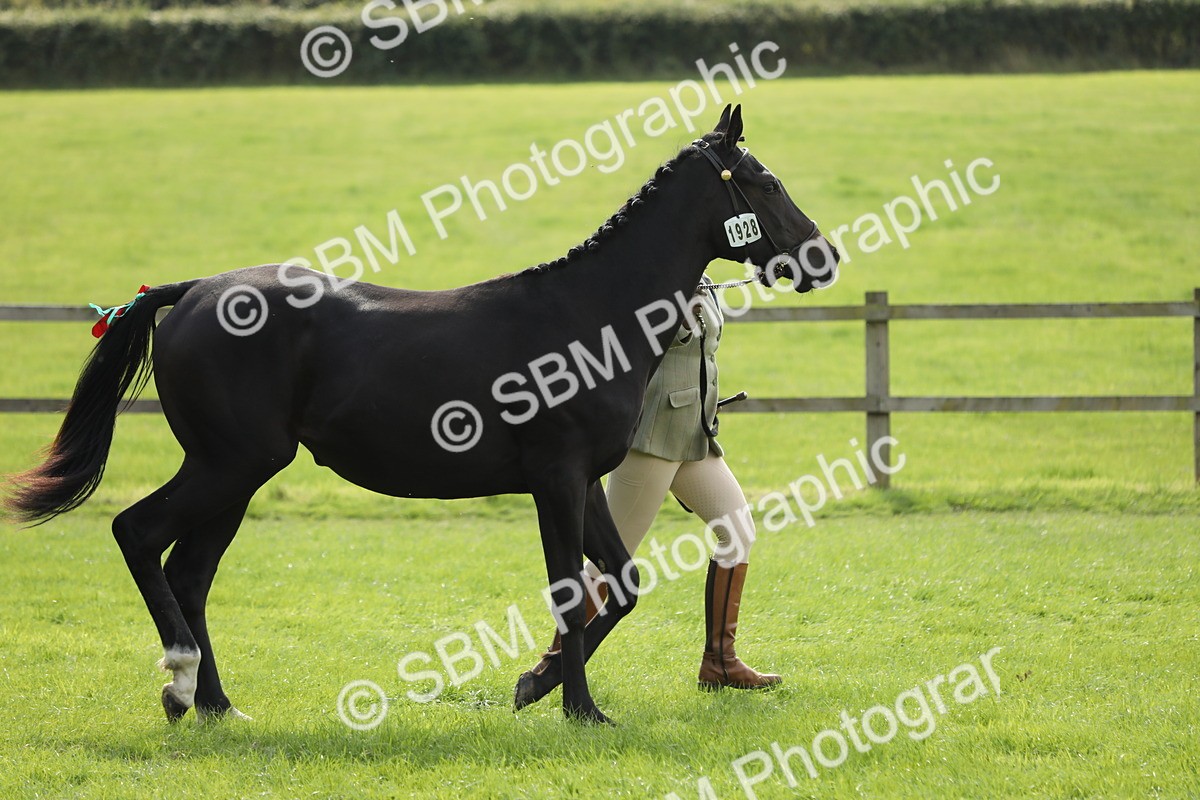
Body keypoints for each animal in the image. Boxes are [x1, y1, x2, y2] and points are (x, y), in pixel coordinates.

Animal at [5, 105, 839, 726]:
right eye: (764, 181)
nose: (821, 256)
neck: (589, 315)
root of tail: (194, 291)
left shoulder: (585, 482)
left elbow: (621, 583)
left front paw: (536, 688)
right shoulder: (556, 480)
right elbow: (571, 591)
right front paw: (580, 710)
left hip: (235, 477)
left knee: (190, 573)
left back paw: (215, 705)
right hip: (227, 466)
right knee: (139, 536)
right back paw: (180, 684)